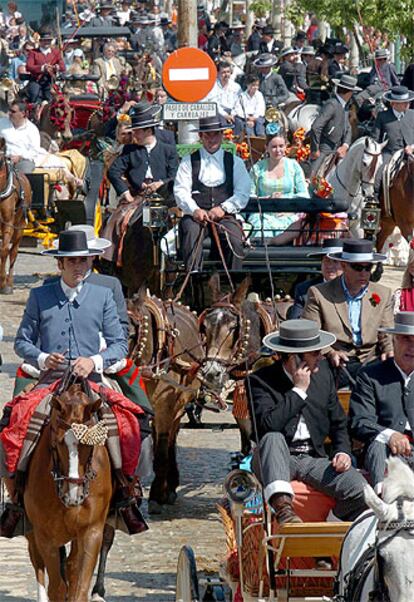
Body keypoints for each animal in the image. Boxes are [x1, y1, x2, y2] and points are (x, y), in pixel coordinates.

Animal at [22, 380, 112, 600]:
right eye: (58, 442)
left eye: (90, 446)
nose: (74, 495)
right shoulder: (45, 537)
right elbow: (57, 587)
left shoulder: (91, 532)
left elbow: (79, 587)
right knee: (38, 564)